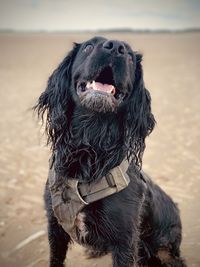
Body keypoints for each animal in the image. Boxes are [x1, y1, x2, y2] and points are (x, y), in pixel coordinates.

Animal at [35, 36, 187, 266]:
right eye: (89, 46)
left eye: (131, 57)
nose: (116, 47)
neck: (90, 148)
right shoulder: (55, 227)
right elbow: (55, 259)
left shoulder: (124, 241)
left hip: (164, 249)